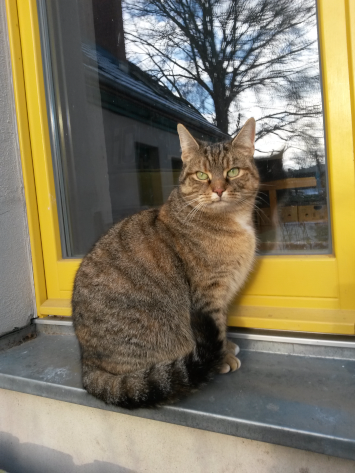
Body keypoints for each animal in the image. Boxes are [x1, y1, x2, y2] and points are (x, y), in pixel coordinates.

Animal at [72, 116, 260, 408]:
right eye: (202, 175)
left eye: (233, 172)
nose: (218, 189)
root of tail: (88, 365)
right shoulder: (209, 292)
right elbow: (217, 325)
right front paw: (222, 358)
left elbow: (222, 326)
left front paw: (226, 347)